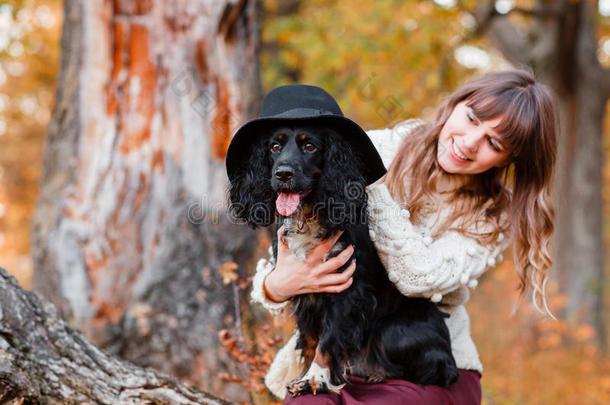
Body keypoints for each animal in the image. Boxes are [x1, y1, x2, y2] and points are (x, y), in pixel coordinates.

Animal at [228, 123, 456, 394]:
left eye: (310, 146)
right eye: (275, 146)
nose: (282, 174)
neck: (310, 215)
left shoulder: (347, 288)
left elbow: (327, 342)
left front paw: (315, 378)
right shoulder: (304, 292)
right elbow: (310, 341)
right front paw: (302, 378)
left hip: (392, 331)